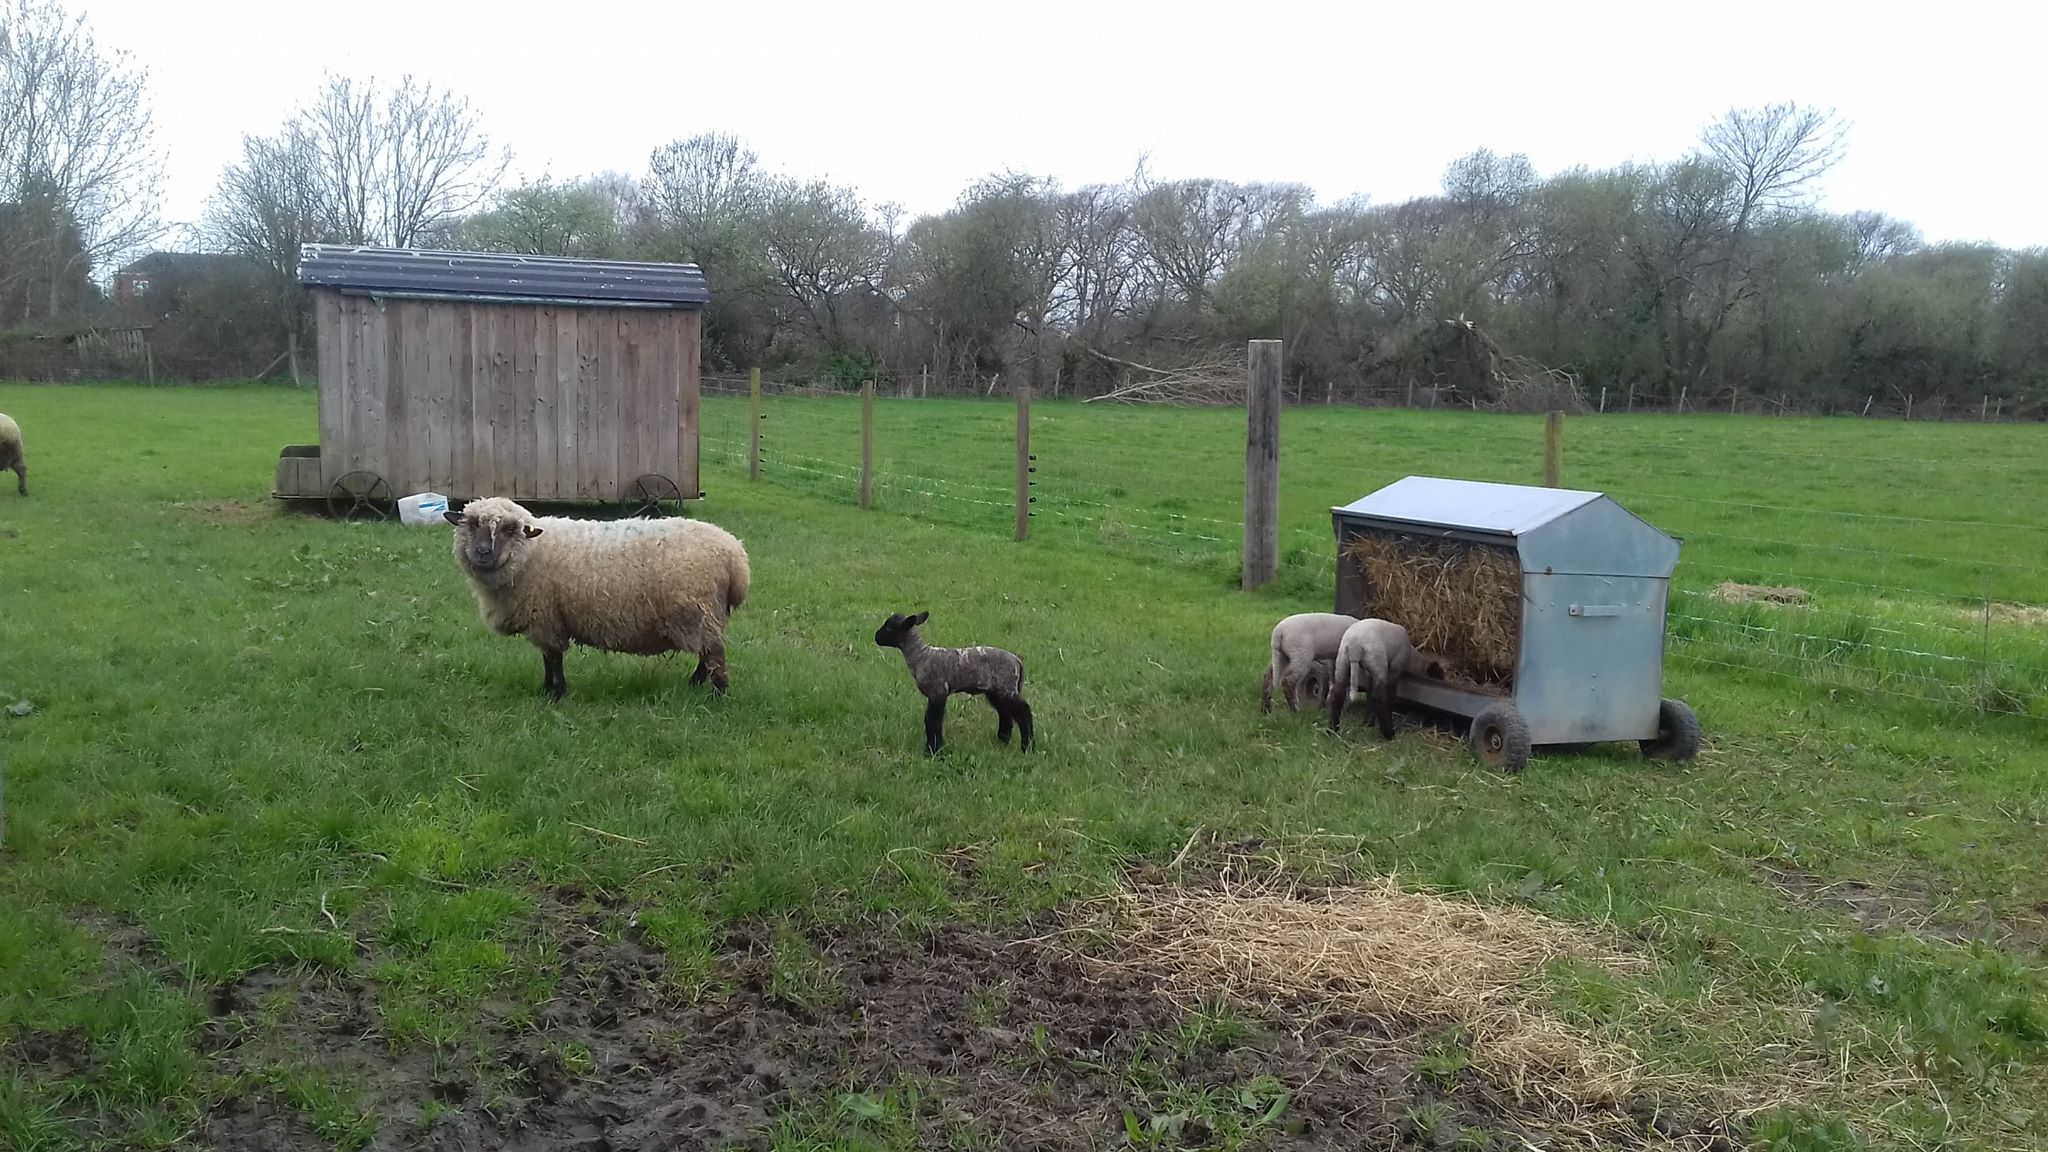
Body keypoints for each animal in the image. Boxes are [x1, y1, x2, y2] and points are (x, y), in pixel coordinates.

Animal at [444, 496, 749, 701]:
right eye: (471, 523)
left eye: (510, 529)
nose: (483, 552)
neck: (532, 551)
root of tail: (735, 555)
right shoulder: (546, 618)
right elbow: (547, 659)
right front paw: (547, 689)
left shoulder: (545, 617)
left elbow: (553, 658)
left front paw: (556, 693)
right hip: (706, 614)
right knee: (706, 654)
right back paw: (695, 684)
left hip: (698, 611)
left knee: (714, 655)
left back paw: (718, 694)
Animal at [872, 606, 1032, 758]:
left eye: (889, 628)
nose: (876, 637)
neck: (921, 657)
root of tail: (1017, 661)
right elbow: (933, 722)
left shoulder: (938, 692)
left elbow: (932, 722)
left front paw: (933, 751)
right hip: (997, 691)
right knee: (1005, 714)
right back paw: (1002, 741)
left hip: (1006, 688)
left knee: (1024, 712)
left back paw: (1027, 747)